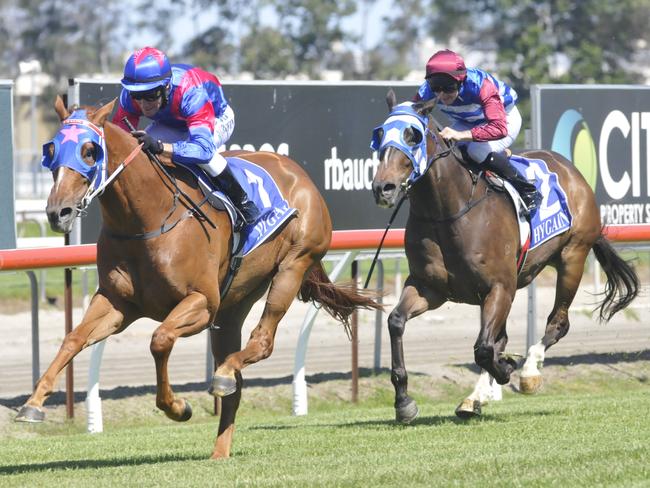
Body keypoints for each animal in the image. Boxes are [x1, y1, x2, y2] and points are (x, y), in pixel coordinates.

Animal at [15, 97, 378, 460]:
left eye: (90, 151)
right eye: (51, 150)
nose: (57, 212)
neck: (148, 218)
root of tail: (298, 173)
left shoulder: (202, 303)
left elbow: (160, 339)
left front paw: (177, 407)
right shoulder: (117, 304)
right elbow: (73, 339)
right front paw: (33, 403)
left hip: (293, 264)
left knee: (261, 341)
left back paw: (223, 375)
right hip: (233, 305)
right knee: (236, 383)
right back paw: (220, 446)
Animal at [370, 91, 636, 424]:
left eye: (412, 135)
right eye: (379, 134)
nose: (383, 187)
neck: (448, 210)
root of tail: (573, 172)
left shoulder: (498, 287)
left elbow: (484, 348)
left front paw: (508, 369)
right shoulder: (429, 288)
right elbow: (396, 321)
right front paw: (404, 401)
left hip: (572, 257)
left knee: (557, 324)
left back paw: (529, 373)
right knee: (503, 336)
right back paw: (475, 397)